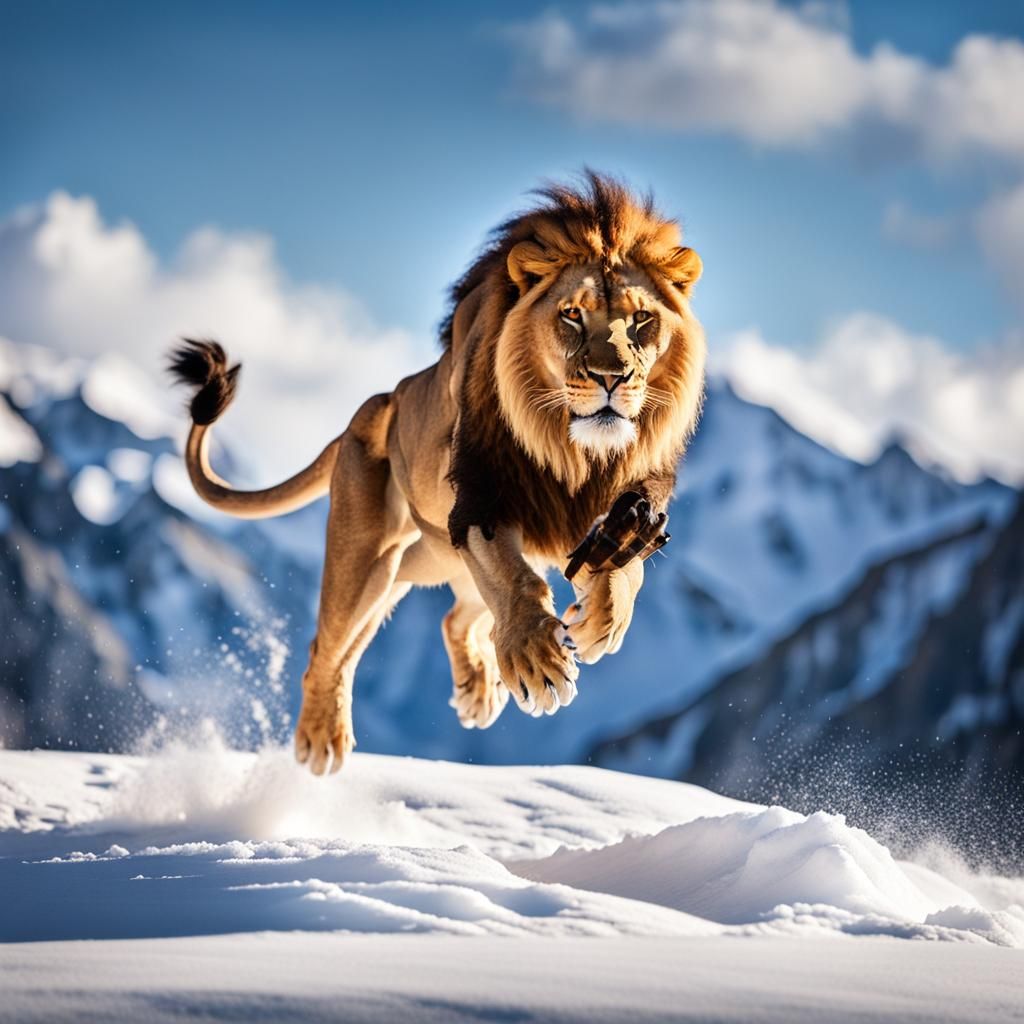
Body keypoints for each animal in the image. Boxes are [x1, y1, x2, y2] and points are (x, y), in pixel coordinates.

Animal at [168, 172, 705, 775]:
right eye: (571, 314)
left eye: (641, 320)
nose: (611, 378)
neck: (575, 451)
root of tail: (377, 406)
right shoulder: (480, 502)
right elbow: (514, 579)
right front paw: (536, 660)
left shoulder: (632, 504)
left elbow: (624, 569)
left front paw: (597, 621)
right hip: (371, 559)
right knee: (328, 647)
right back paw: (321, 738)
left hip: (420, 561)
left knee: (449, 617)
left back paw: (478, 691)